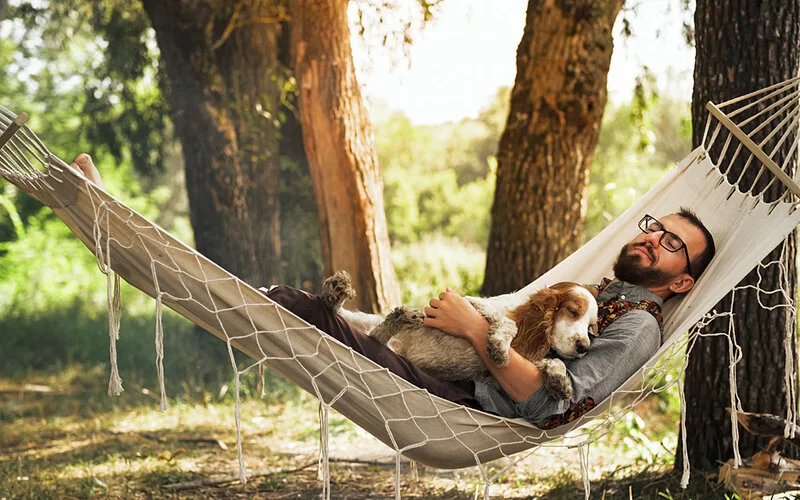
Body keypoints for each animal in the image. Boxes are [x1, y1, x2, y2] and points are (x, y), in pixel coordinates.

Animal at [318, 272, 592, 400]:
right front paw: (499, 348)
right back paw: (338, 292)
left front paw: (560, 382)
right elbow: (505, 324)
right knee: (349, 319)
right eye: (573, 311)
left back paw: (400, 316)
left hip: (381, 340)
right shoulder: (474, 304)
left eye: (591, 327)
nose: (584, 347)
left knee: (374, 335)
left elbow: (552, 362)